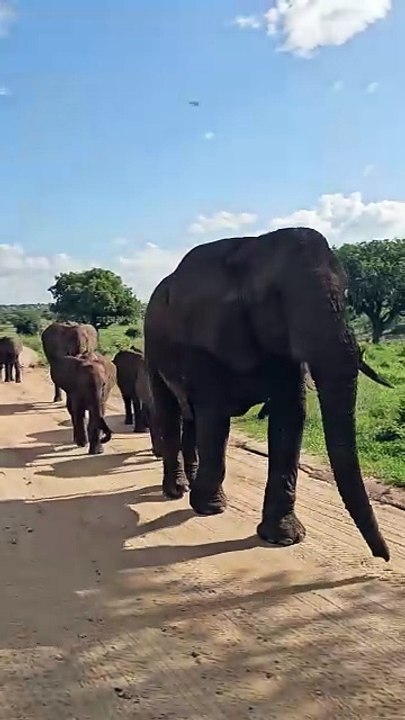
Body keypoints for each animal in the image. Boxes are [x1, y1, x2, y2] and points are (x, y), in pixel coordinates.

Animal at [144, 227, 391, 562]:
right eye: (277, 298)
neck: (253, 249)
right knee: (171, 412)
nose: (383, 556)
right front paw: (211, 509)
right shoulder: (204, 338)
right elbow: (215, 416)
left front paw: (283, 537)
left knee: (190, 417)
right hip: (152, 347)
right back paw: (177, 490)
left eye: (346, 294)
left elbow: (290, 417)